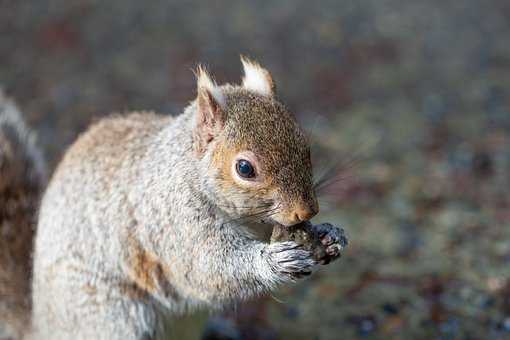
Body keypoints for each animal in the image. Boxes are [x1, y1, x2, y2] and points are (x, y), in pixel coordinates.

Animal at [0, 57, 346, 338]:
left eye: (306, 147)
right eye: (245, 168)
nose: (306, 212)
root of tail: (43, 327)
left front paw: (329, 235)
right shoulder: (174, 221)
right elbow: (207, 267)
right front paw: (275, 261)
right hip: (114, 317)